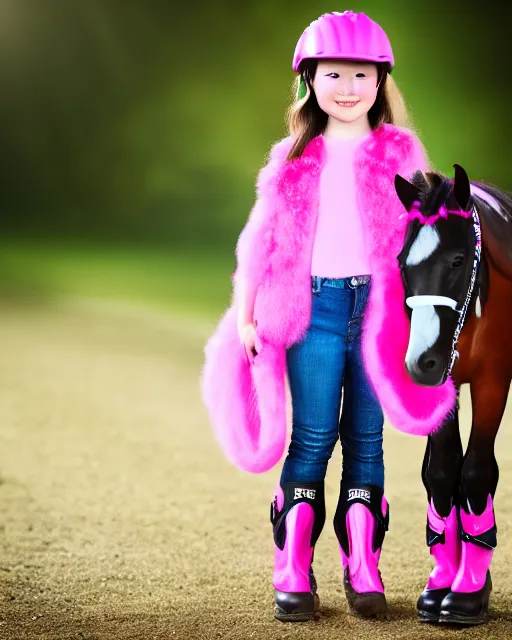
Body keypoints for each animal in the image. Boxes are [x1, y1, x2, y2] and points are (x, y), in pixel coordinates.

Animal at [394, 165, 512, 624]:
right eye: (402, 263)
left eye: (458, 261)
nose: (420, 361)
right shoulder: (444, 383)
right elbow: (443, 474)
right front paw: (444, 584)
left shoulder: (493, 380)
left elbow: (477, 473)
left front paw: (467, 594)